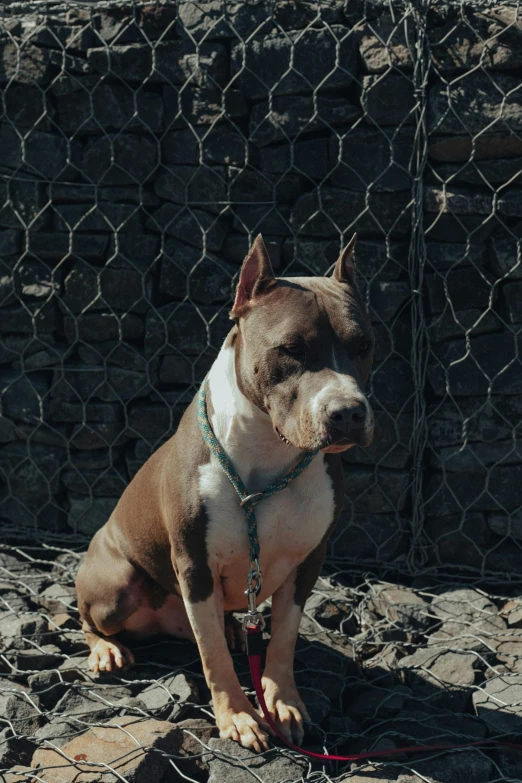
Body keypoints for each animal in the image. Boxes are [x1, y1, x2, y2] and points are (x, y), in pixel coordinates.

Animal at [74, 234, 374, 752]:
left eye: (364, 346)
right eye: (291, 349)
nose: (349, 412)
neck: (269, 455)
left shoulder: (309, 560)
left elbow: (285, 637)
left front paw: (282, 701)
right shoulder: (194, 564)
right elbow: (212, 654)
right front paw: (237, 715)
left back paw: (237, 632)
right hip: (116, 586)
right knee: (88, 619)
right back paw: (107, 649)